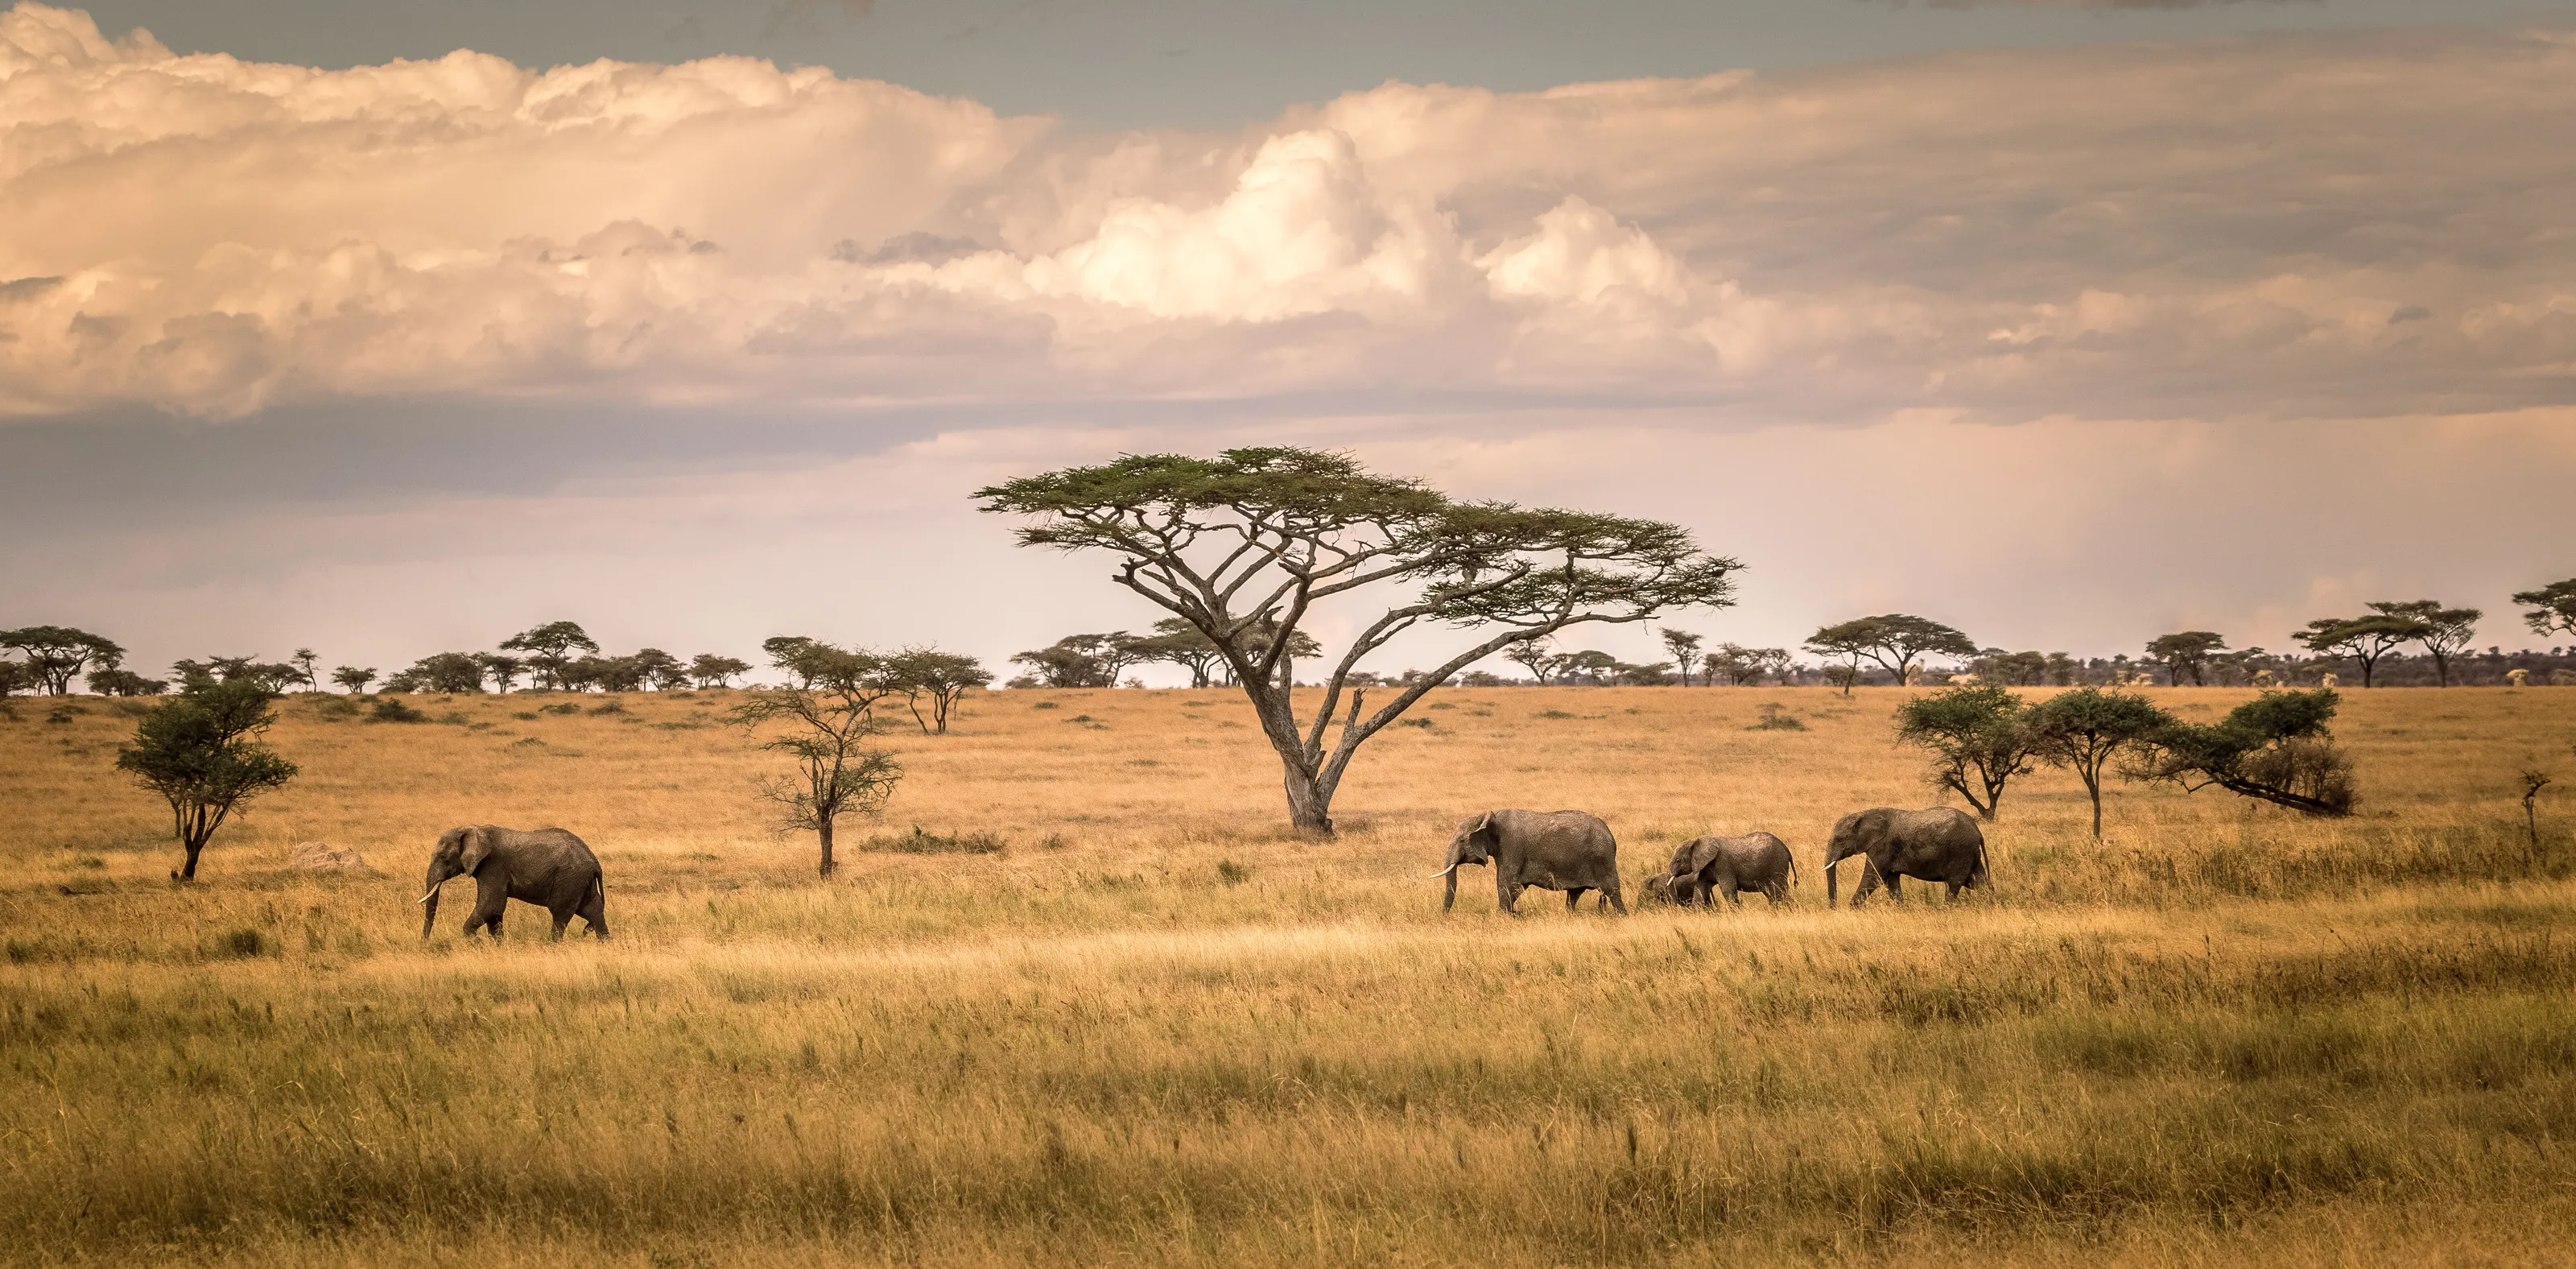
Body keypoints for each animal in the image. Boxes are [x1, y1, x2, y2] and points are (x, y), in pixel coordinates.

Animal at [419, 825, 609, 941]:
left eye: (442, 857)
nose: (425, 942)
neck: (476, 829)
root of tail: (595, 861)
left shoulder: (493, 866)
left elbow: (491, 905)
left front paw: (477, 942)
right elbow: (494, 912)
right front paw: (496, 946)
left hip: (569, 879)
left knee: (560, 915)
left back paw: (554, 946)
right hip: (580, 881)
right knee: (593, 911)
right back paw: (604, 944)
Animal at [1428, 809, 1626, 914]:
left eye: (1462, 841)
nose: (1444, 916)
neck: (1489, 817)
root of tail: (1611, 835)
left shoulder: (1511, 847)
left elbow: (1507, 884)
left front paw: (1505, 915)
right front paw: (1512, 914)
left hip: (1603, 859)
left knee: (1612, 891)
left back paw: (1621, 916)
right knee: (1574, 894)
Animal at [1657, 832, 1798, 908]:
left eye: (1678, 861)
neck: (1697, 841)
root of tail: (1786, 848)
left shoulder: (1723, 864)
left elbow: (1727, 889)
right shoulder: (1705, 868)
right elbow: (1700, 889)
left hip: (1777, 865)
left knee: (1779, 891)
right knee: (1772, 893)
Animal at [1822, 807, 1987, 907]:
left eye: (1840, 839)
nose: (1834, 908)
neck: (1865, 814)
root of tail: (1977, 831)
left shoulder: (1883, 846)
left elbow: (1873, 877)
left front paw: (1851, 909)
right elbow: (1891, 881)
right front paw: (1902, 909)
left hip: (1960, 852)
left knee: (1954, 883)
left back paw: (1945, 909)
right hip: (1970, 854)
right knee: (1978, 881)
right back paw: (1989, 904)